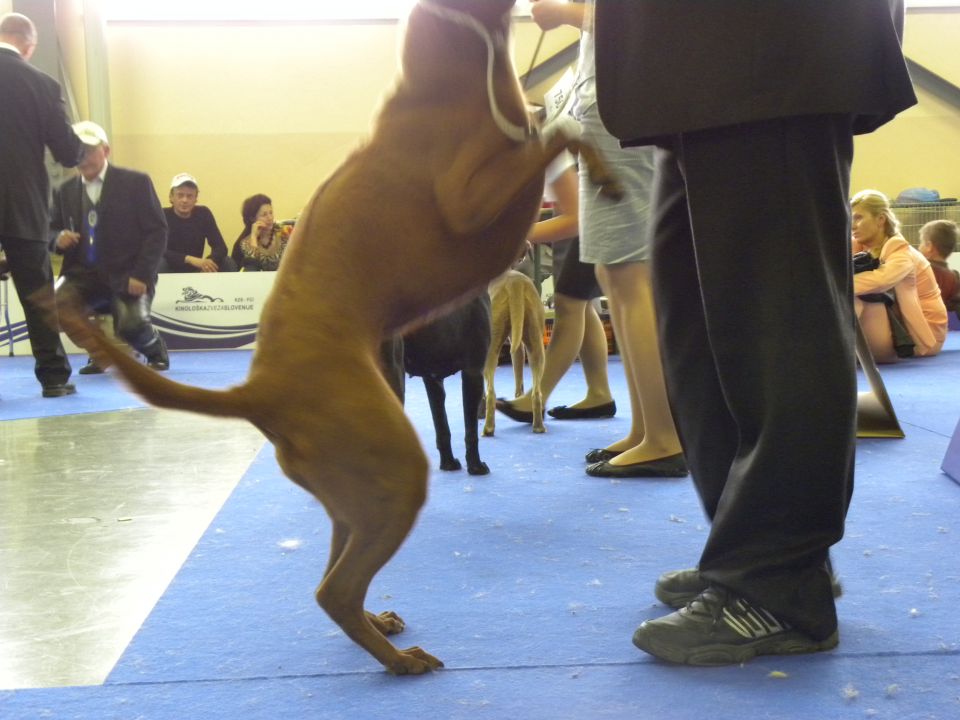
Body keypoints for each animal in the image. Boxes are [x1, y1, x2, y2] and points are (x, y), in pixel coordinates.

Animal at [404, 296, 496, 476]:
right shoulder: (473, 372)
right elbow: (471, 430)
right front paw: (475, 466)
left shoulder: (433, 379)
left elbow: (442, 426)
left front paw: (448, 463)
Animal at [484, 272, 544, 434]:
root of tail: (515, 282)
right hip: (535, 343)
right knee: (536, 392)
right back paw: (538, 426)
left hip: (491, 349)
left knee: (491, 393)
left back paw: (488, 428)